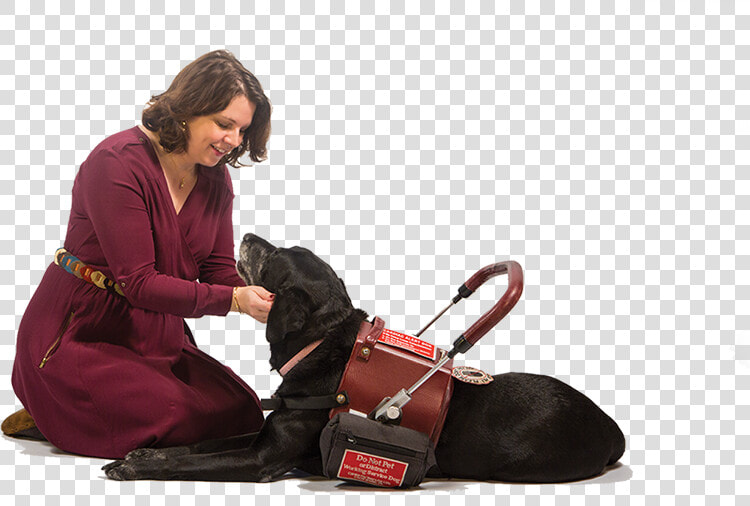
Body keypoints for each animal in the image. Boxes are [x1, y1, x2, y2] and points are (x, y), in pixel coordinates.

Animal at [103, 235, 624, 484]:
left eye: (276, 256)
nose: (247, 233)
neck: (321, 345)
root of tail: (613, 427)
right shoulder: (266, 430)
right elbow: (200, 445)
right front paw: (147, 452)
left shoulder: (262, 458)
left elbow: (199, 461)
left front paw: (135, 468)